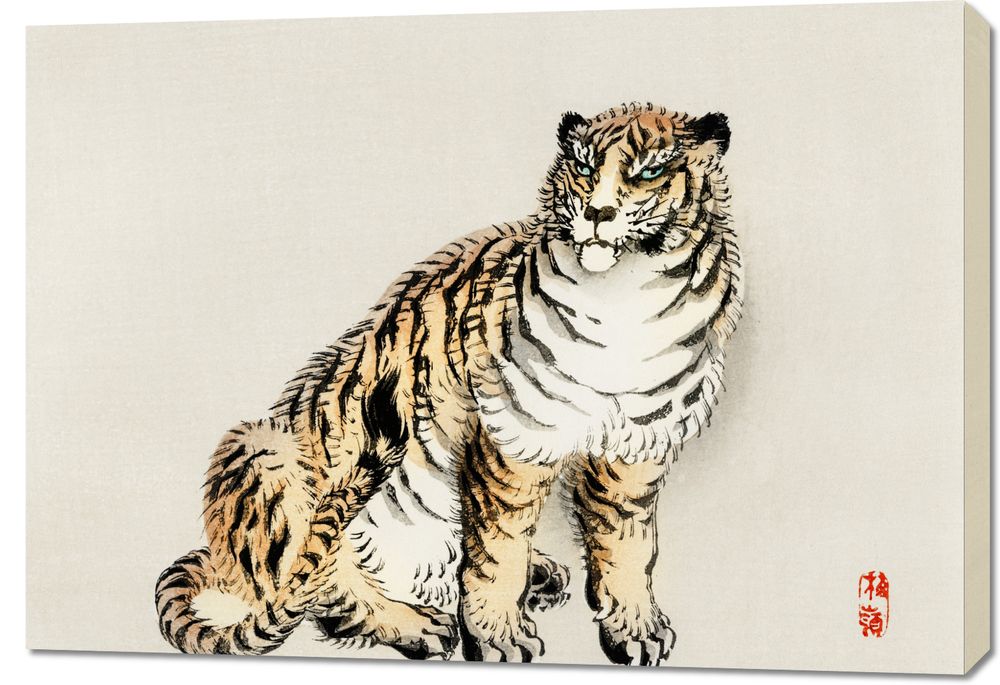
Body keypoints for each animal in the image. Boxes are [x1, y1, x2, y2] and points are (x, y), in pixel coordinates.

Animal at [155, 102, 742, 666]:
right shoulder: (512, 440)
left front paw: (636, 630)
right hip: (261, 446)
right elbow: (499, 549)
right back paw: (420, 625)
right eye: (583, 167)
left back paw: (540, 574)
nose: (598, 214)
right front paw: (499, 641)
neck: (626, 298)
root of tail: (219, 563)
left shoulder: (637, 447)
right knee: (319, 588)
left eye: (651, 171)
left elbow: (628, 545)